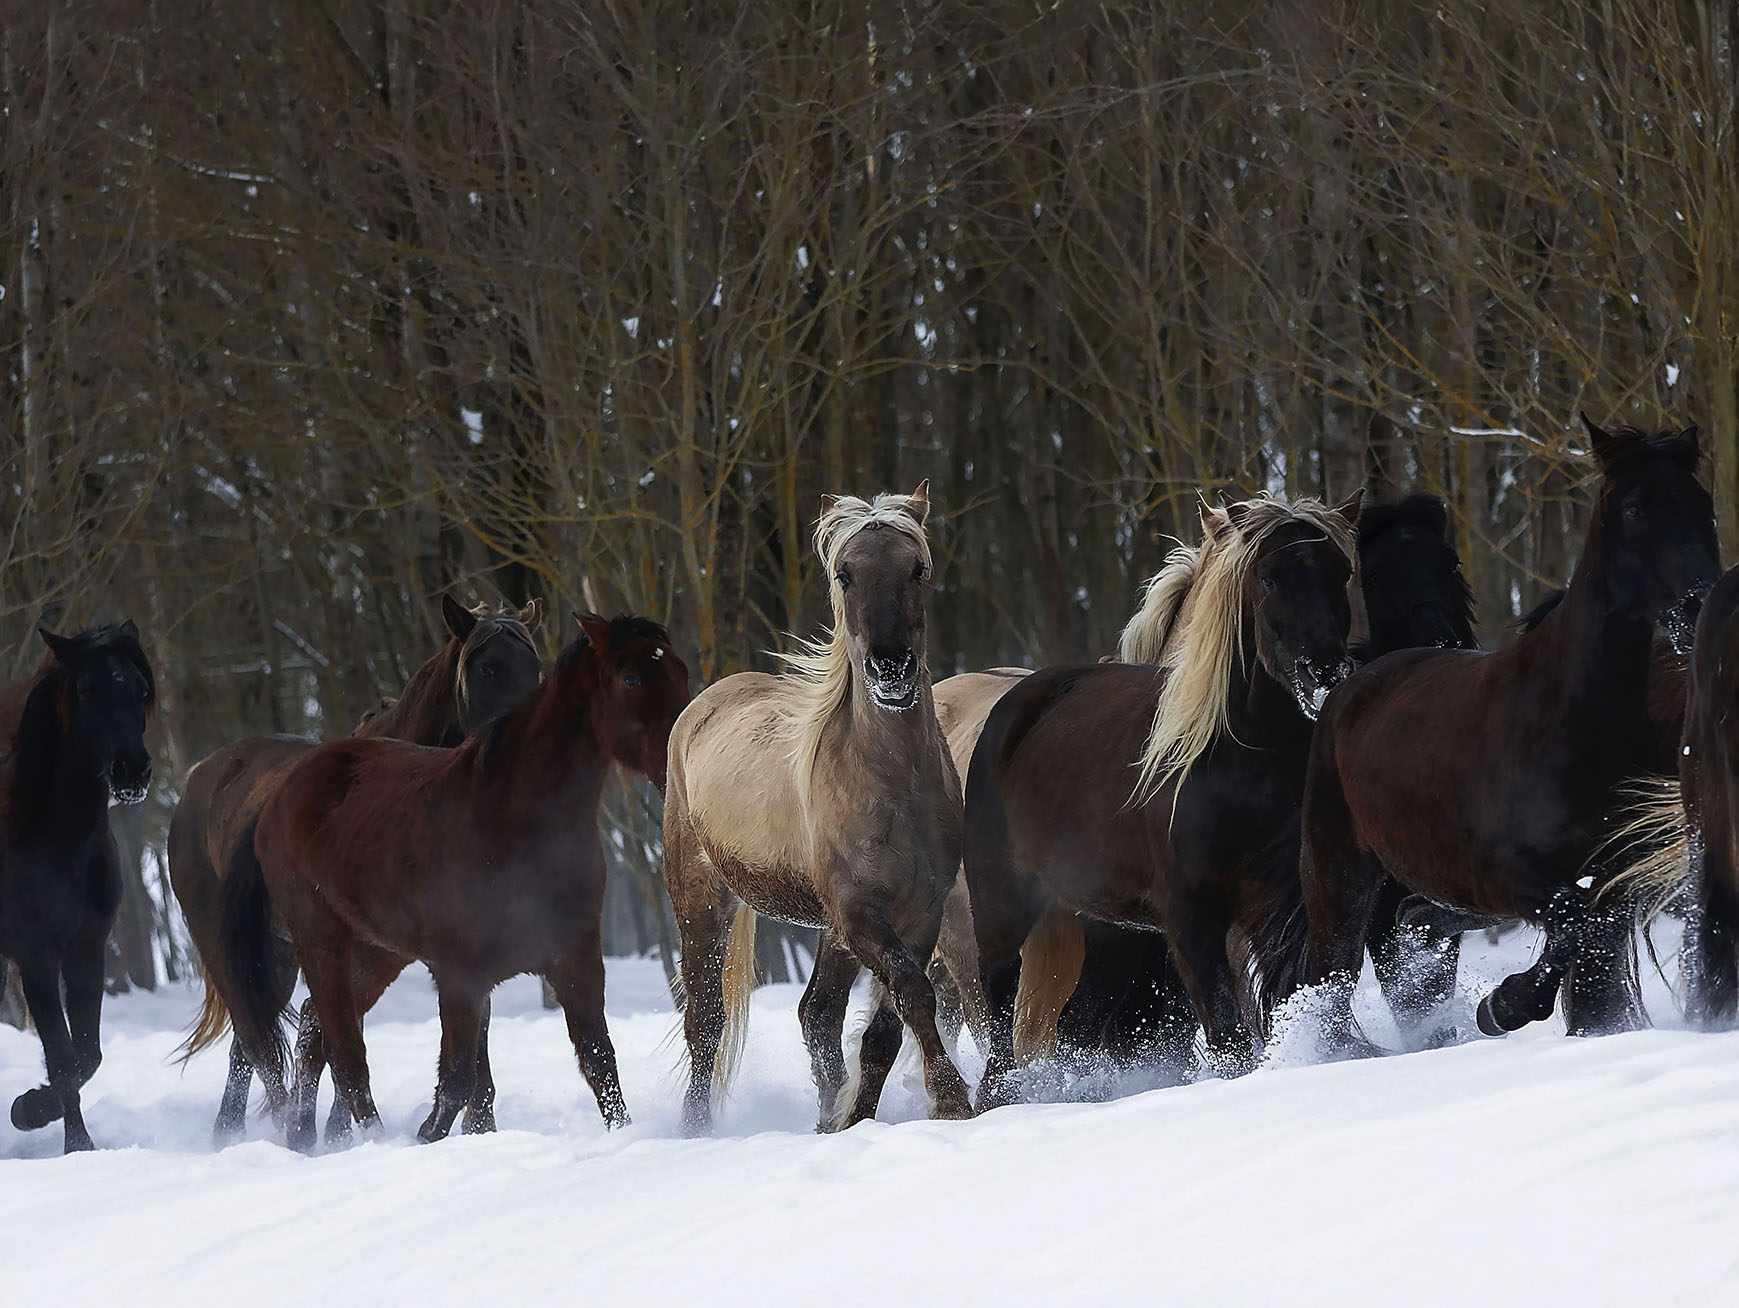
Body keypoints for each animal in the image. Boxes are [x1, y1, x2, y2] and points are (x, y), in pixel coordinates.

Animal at [0, 619, 153, 1141]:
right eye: (87, 690)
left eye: (142, 690)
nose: (133, 771)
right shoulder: (36, 958)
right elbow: (65, 1058)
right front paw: (72, 1143)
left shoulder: (87, 952)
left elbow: (87, 1055)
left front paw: (32, 1107)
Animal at [171, 594, 542, 1141]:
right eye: (487, 668)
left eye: (536, 669)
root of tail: (200, 777)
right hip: (229, 949)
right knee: (259, 1044)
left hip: (281, 955)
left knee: (266, 1041)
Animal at [213, 612, 681, 1141]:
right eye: (630, 678)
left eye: (678, 669)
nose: (679, 748)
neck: (513, 822)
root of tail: (278, 795)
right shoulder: (460, 976)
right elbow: (457, 1081)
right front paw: (426, 1140)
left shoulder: (575, 961)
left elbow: (601, 1066)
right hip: (320, 942)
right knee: (345, 1054)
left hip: (374, 951)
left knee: (316, 1032)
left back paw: (304, 1137)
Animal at [966, 490, 1356, 1106]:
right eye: (1268, 577)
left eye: (1342, 572)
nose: (1325, 671)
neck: (1240, 764)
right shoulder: (1188, 921)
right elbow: (1228, 1037)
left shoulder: (1282, 905)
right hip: (1002, 917)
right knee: (1004, 1020)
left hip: (1109, 927)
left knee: (1079, 1025)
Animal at [1300, 419, 1718, 1050]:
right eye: (1635, 509)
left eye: (1704, 505)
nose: (1699, 607)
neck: (1570, 722)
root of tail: (1353, 686)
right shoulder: (1502, 874)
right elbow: (1571, 923)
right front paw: (1502, 1006)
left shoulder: (1617, 879)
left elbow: (1590, 957)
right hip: (1339, 878)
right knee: (1331, 980)